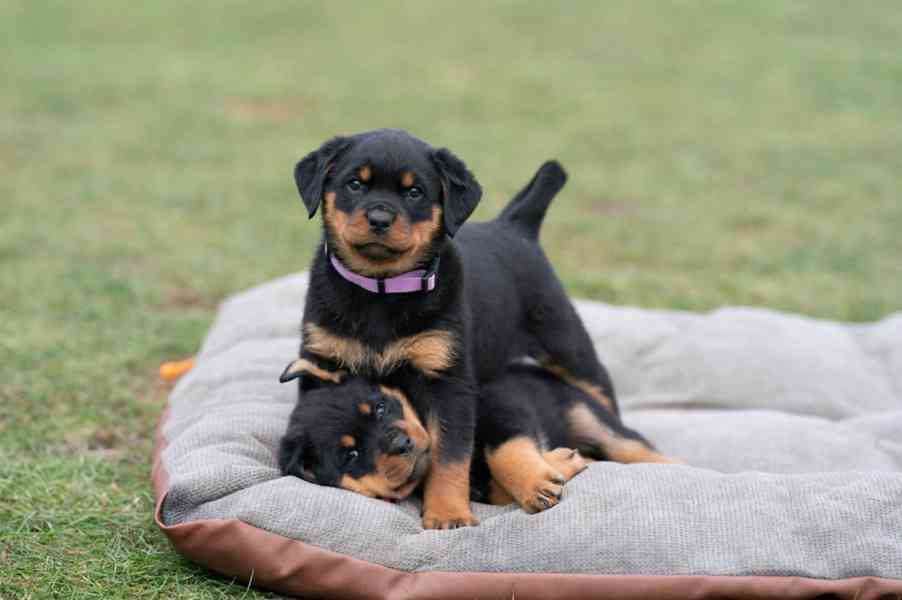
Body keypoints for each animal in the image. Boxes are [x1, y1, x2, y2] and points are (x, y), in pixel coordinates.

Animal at [282, 129, 672, 528]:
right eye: (354, 184)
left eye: (414, 192)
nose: (378, 218)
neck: (380, 290)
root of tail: (513, 225)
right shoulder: (321, 357)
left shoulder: (449, 382)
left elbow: (451, 455)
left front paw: (448, 514)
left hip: (569, 348)